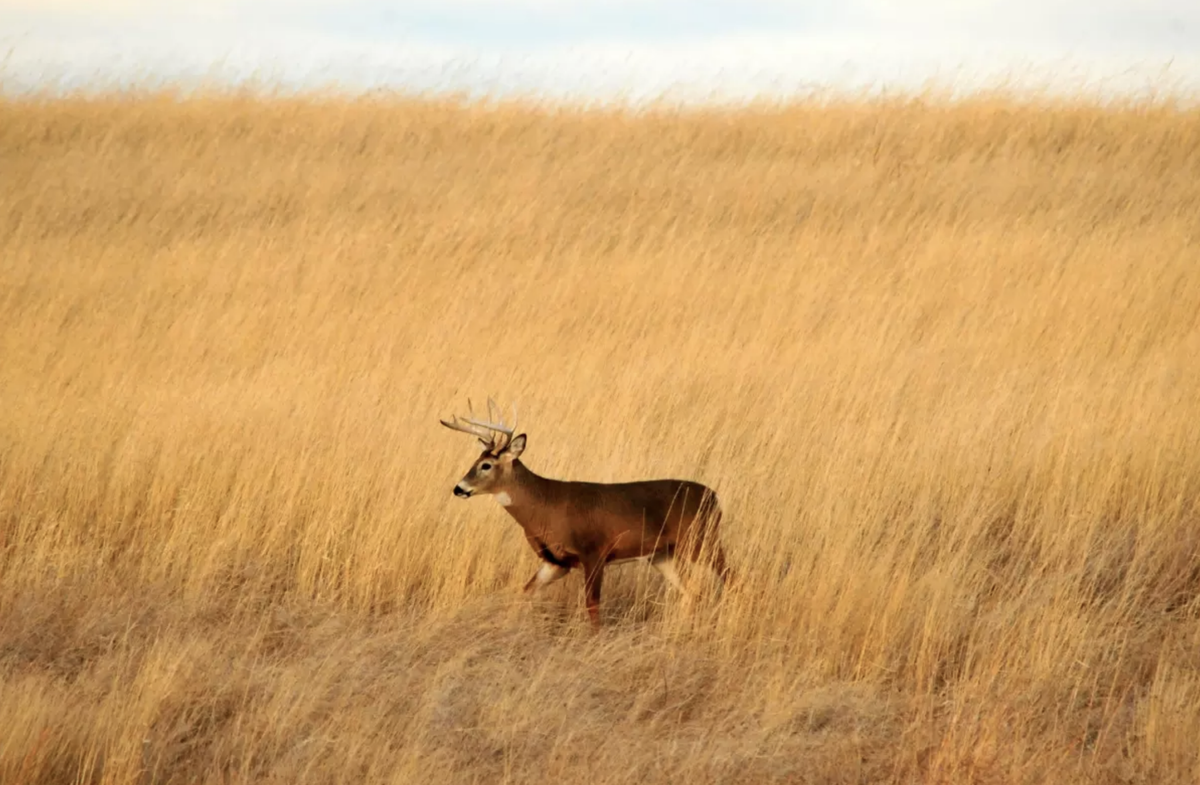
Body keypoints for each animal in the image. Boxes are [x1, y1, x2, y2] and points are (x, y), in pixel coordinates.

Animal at [441, 403, 729, 628]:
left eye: (486, 465)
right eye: (475, 461)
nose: (459, 488)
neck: (545, 505)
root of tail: (715, 497)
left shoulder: (594, 552)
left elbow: (593, 607)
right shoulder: (556, 562)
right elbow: (524, 593)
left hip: (702, 542)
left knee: (729, 577)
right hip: (662, 555)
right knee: (691, 592)